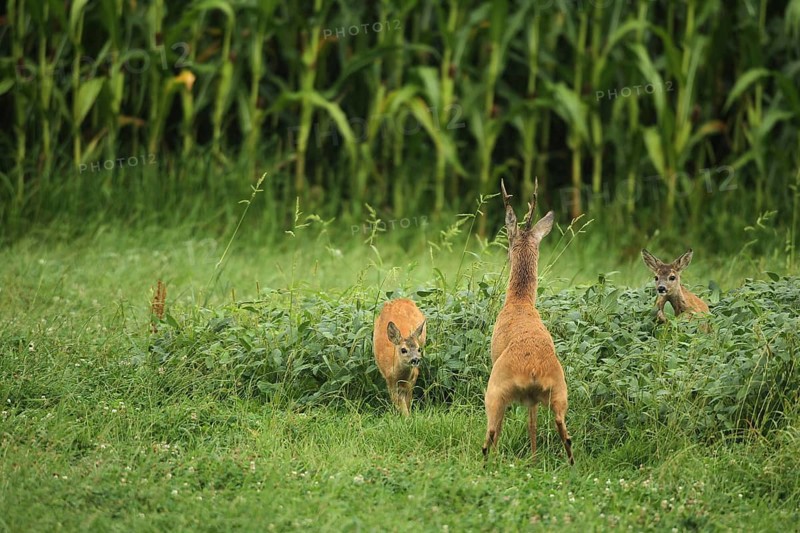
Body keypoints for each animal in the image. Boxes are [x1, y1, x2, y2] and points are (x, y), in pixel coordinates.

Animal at [482, 179, 574, 465]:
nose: (506, 256)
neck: (520, 301)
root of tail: (532, 369)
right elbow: (532, 424)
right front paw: (533, 457)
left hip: (495, 390)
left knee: (493, 429)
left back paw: (488, 459)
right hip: (559, 391)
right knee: (562, 429)